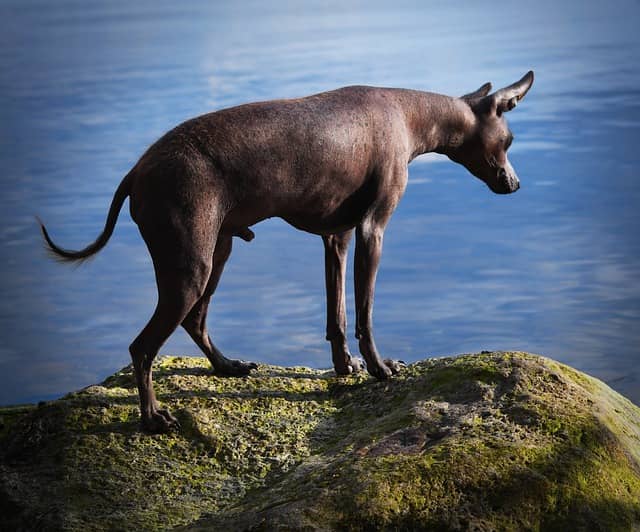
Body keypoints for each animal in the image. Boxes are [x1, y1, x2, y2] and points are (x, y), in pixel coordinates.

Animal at [37, 69, 532, 432]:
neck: (407, 115)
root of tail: (136, 170)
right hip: (190, 267)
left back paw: (226, 366)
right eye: (508, 142)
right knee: (142, 348)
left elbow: (337, 316)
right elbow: (365, 314)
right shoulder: (372, 232)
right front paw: (379, 367)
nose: (515, 184)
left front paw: (345, 367)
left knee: (195, 321)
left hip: (216, 255)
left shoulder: (337, 238)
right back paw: (153, 417)